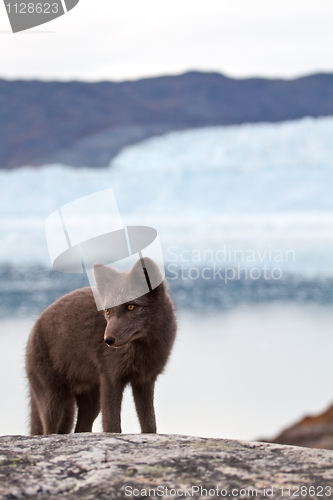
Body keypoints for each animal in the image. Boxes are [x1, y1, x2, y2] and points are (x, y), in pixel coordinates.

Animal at [25, 258, 176, 434]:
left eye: (131, 306)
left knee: (80, 429)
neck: (141, 349)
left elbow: (150, 425)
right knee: (48, 430)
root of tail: (35, 324)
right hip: (55, 404)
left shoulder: (144, 380)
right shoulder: (111, 378)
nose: (108, 340)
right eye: (108, 311)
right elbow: (112, 425)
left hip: (91, 403)